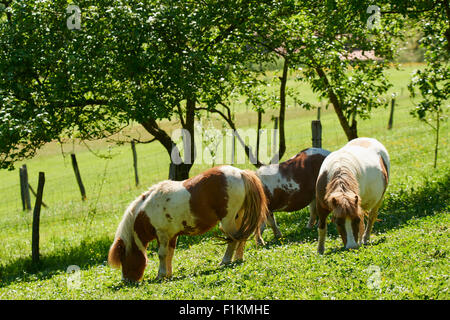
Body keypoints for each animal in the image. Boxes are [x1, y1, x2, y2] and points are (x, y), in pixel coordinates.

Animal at [107, 166, 268, 282]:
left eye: (123, 258)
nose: (126, 281)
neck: (147, 210)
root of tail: (240, 172)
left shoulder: (162, 235)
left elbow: (161, 254)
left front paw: (161, 275)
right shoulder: (172, 236)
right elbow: (170, 254)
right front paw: (169, 274)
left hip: (228, 221)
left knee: (233, 240)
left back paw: (225, 261)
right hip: (238, 217)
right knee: (241, 238)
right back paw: (238, 258)